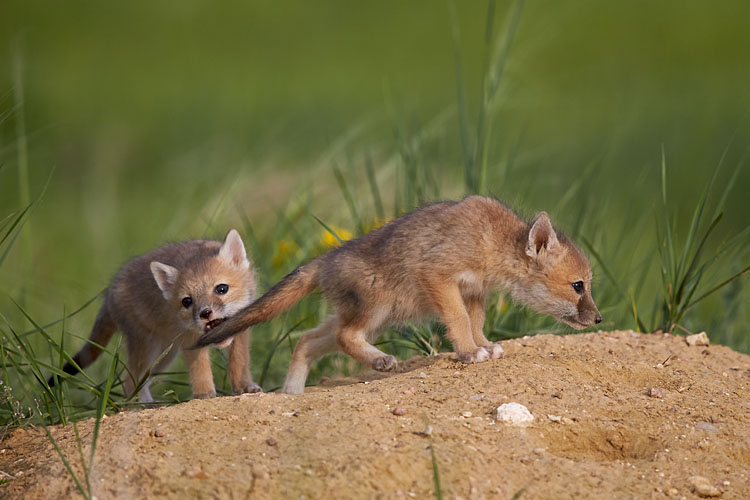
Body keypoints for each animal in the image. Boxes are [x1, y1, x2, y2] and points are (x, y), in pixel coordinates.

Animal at [49, 229, 261, 402]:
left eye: (222, 289)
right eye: (187, 301)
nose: (205, 313)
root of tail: (110, 292)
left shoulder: (241, 328)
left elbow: (240, 362)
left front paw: (244, 386)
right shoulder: (190, 340)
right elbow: (200, 370)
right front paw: (204, 395)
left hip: (164, 357)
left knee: (140, 380)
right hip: (148, 348)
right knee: (129, 380)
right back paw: (143, 406)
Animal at [196, 196, 602, 394]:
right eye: (578, 286)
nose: (599, 318)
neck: (490, 238)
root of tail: (327, 257)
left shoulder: (473, 292)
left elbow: (476, 325)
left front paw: (485, 346)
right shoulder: (439, 276)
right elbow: (458, 323)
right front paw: (469, 353)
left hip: (370, 320)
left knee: (308, 341)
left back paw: (290, 394)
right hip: (374, 312)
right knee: (343, 338)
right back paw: (380, 361)